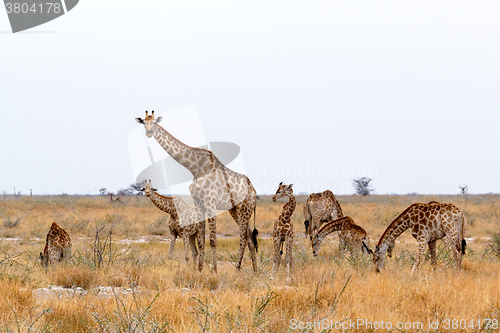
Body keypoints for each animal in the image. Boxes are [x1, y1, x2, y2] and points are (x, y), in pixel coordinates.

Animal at [136, 110, 258, 272]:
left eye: (154, 122)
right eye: (144, 122)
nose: (149, 132)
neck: (194, 168)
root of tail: (254, 191)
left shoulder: (210, 201)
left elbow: (212, 239)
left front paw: (214, 271)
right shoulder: (198, 201)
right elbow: (201, 240)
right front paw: (200, 270)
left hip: (244, 208)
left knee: (243, 237)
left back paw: (237, 270)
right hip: (236, 210)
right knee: (249, 237)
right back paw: (255, 271)